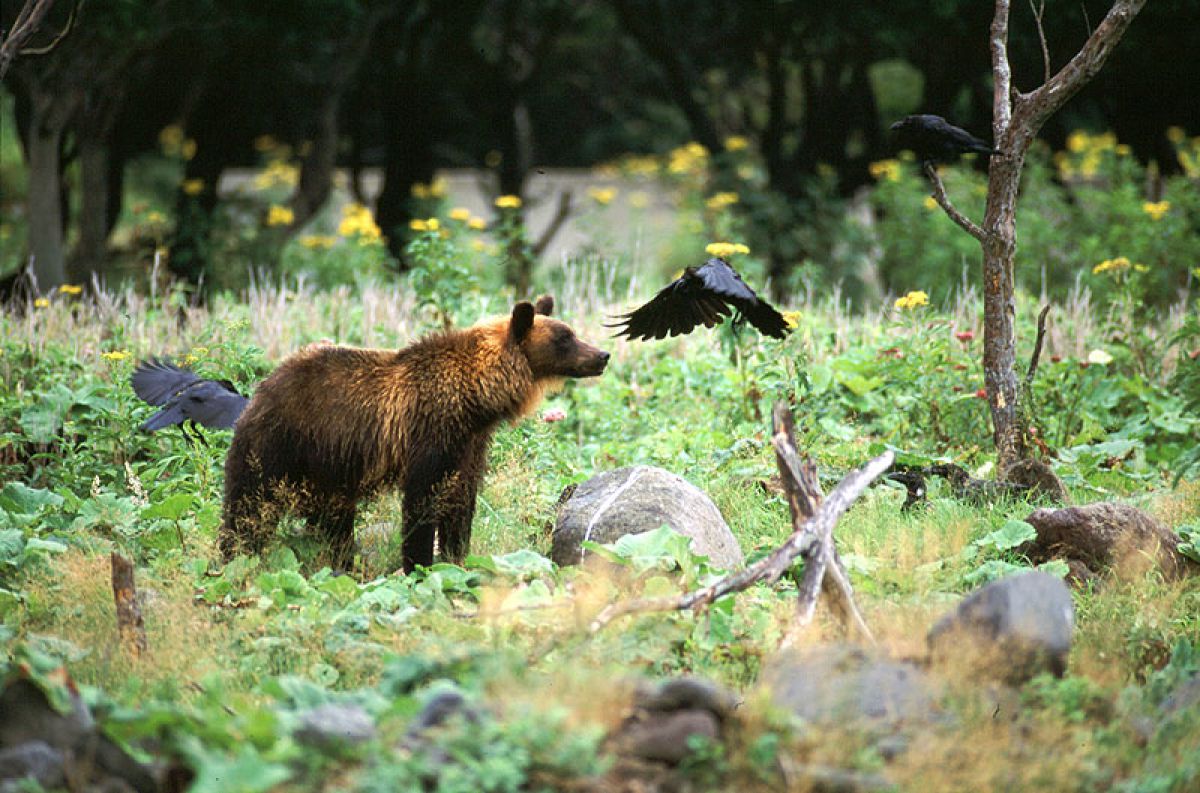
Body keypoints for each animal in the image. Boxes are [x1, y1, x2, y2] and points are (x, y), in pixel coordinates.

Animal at [219, 295, 609, 568]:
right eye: (566, 337)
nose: (602, 355)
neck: (474, 397)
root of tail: (261, 387)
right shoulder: (429, 432)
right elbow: (422, 503)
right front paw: (418, 564)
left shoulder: (469, 444)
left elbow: (461, 502)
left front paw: (456, 556)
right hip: (281, 445)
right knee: (248, 507)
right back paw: (233, 559)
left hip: (327, 471)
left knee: (332, 521)